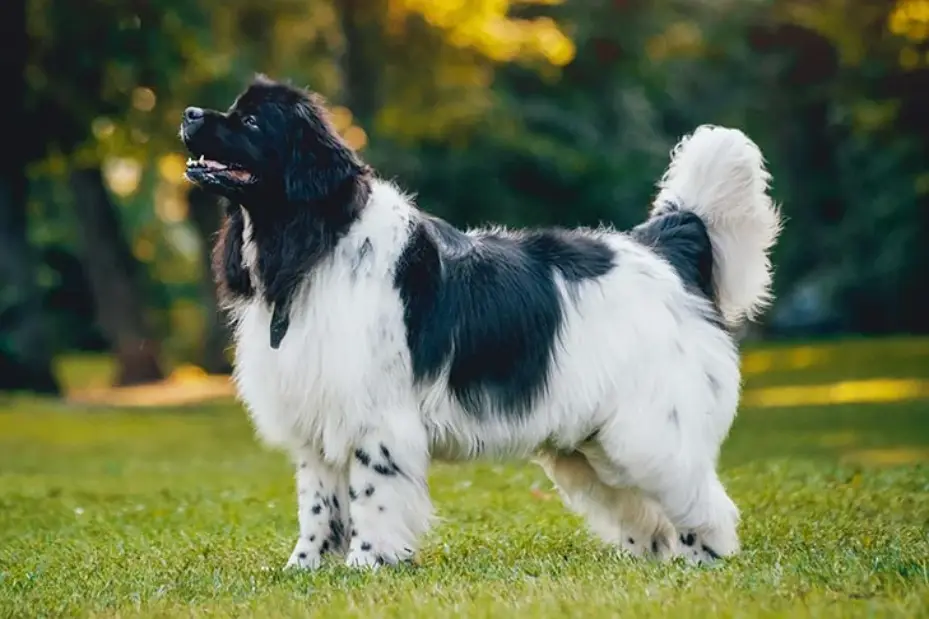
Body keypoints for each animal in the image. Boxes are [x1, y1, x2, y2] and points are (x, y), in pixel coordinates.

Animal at [178, 76, 780, 572]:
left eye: (251, 123)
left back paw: (703, 559)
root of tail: (661, 248)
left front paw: (367, 563)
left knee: (703, 502)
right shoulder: (319, 420)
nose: (188, 112)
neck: (319, 239)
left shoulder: (376, 418)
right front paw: (304, 568)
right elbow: (319, 507)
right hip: (597, 444)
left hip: (650, 430)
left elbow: (371, 496)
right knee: (646, 512)